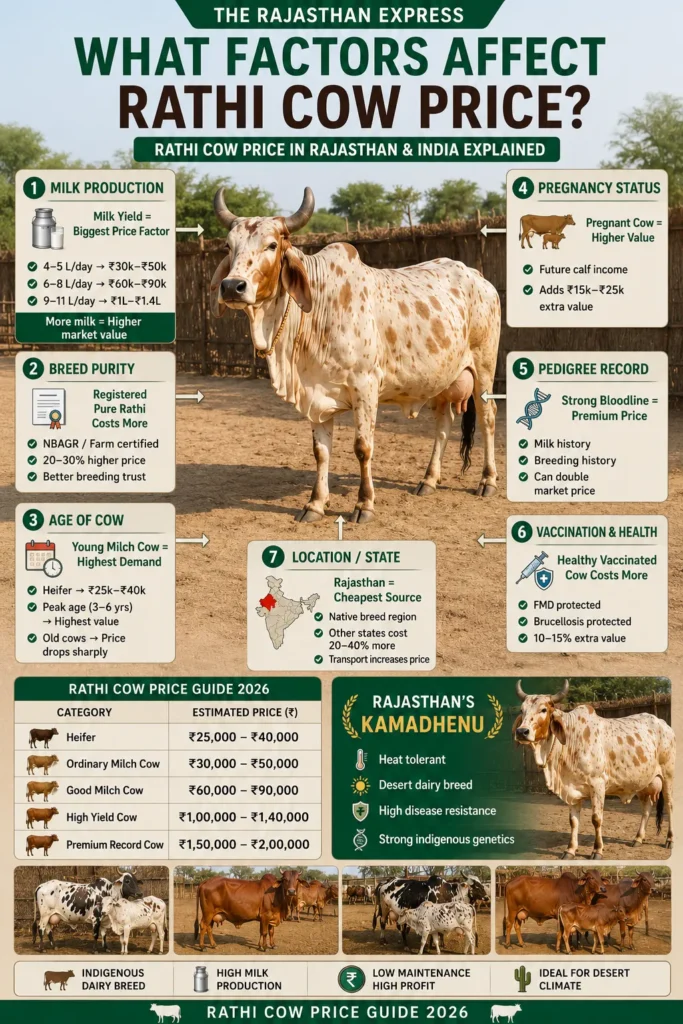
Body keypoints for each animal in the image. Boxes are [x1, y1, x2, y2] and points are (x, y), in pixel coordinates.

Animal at [210, 187, 501, 522]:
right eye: (228, 245)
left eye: (272, 244)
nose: (232, 286)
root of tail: (480, 277)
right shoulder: (316, 394)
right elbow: (321, 451)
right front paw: (315, 504)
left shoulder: (366, 386)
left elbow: (363, 447)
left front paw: (364, 504)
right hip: (441, 378)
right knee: (444, 423)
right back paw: (428, 480)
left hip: (484, 368)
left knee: (488, 417)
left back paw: (487, 481)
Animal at [514, 680, 675, 858]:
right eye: (522, 710)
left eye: (543, 709)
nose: (522, 731)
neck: (571, 741)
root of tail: (664, 725)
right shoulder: (572, 789)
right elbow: (573, 821)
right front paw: (570, 850)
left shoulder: (597, 785)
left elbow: (596, 819)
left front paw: (597, 850)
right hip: (642, 782)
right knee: (646, 808)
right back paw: (638, 838)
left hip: (668, 776)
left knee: (669, 805)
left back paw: (669, 840)